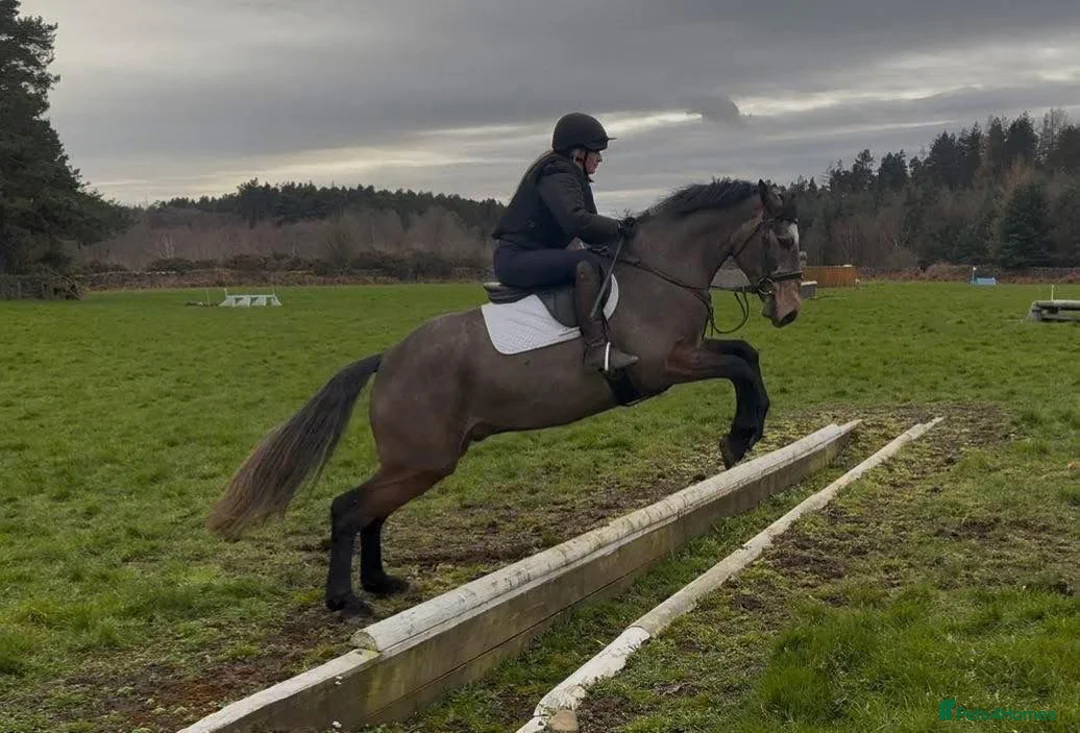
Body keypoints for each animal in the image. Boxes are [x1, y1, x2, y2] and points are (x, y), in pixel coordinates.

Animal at [206, 178, 803, 617]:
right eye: (783, 240)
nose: (790, 310)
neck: (660, 273)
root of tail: (388, 359)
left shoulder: (690, 352)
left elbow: (746, 354)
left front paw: (744, 434)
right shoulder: (667, 366)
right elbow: (739, 365)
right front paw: (739, 439)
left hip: (417, 463)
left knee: (370, 511)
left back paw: (379, 583)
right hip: (424, 461)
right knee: (349, 508)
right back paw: (346, 601)